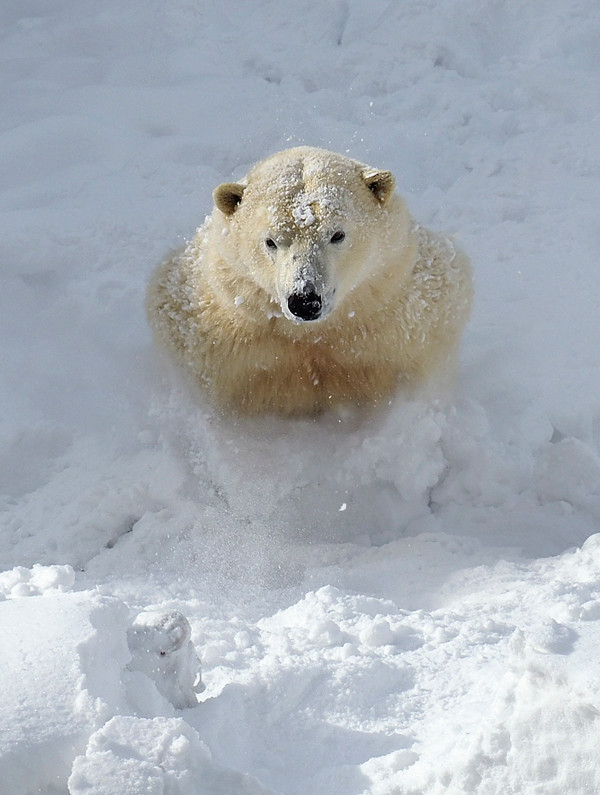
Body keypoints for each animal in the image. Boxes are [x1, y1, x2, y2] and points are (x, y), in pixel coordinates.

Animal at [146, 147, 474, 416]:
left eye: (337, 234)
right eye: (271, 241)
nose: (305, 300)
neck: (311, 334)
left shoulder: (400, 321)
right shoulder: (218, 337)